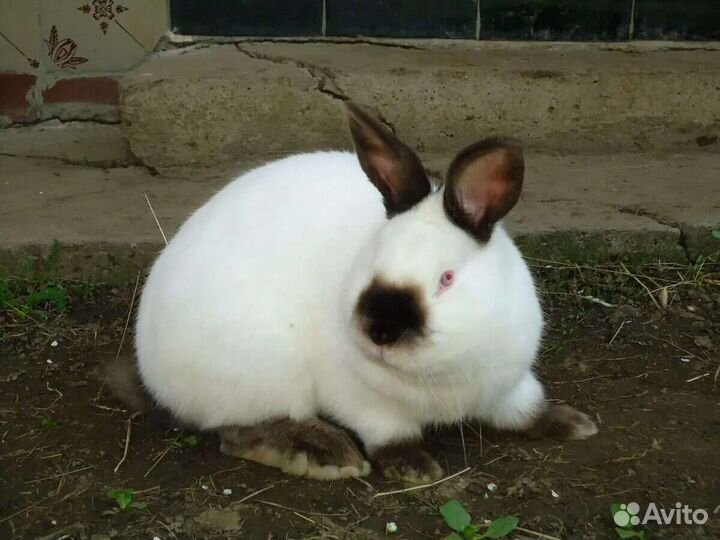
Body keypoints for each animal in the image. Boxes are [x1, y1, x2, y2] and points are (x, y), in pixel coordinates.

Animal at [131, 101, 597, 482]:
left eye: (446, 279)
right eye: (373, 257)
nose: (381, 332)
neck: (438, 374)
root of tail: (150, 366)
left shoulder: (508, 385)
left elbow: (526, 409)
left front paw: (574, 423)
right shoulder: (363, 402)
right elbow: (390, 435)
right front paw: (415, 467)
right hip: (263, 371)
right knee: (239, 431)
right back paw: (324, 454)